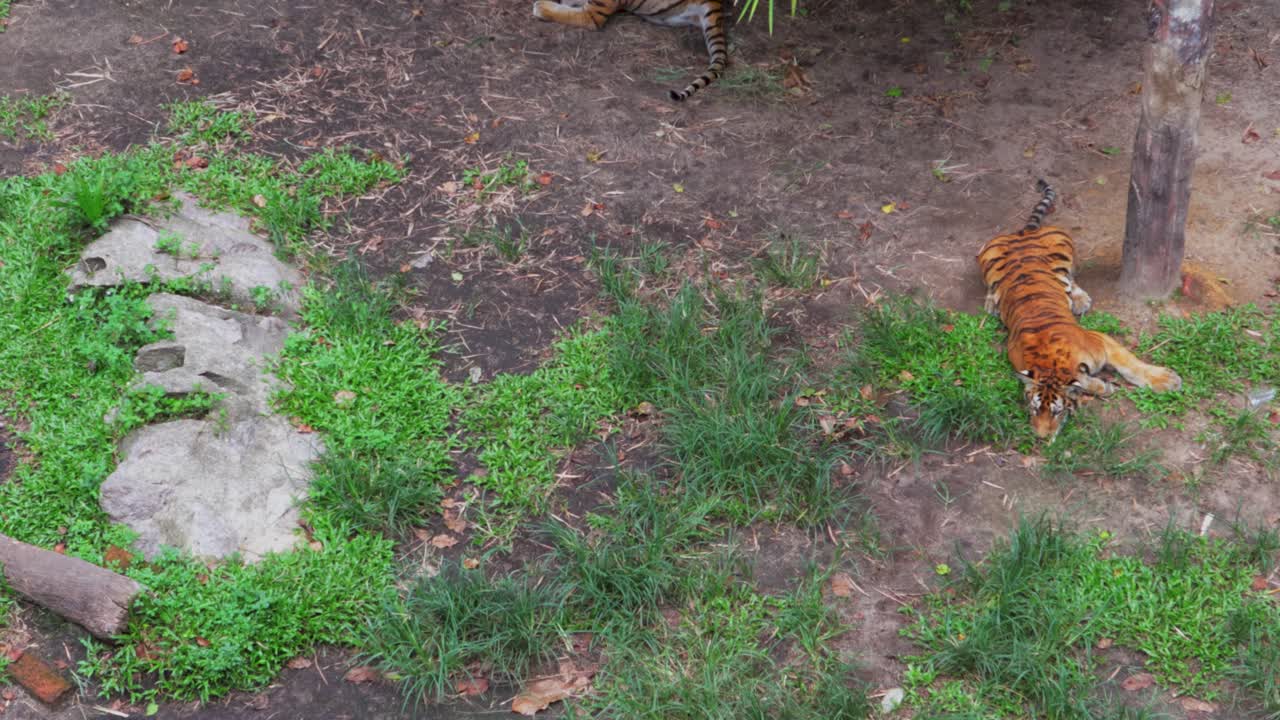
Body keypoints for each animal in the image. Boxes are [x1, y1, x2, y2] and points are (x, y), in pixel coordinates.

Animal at [977, 179, 1183, 440]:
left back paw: (1079, 299)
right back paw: (992, 304)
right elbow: (1084, 381)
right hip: (986, 256)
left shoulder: (1101, 341)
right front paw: (1101, 386)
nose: (1042, 438)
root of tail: (1023, 232)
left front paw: (1166, 380)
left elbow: (1131, 364)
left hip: (1063, 247)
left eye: (1057, 411)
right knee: (998, 285)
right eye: (1034, 408)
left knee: (1069, 276)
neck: (1050, 363)